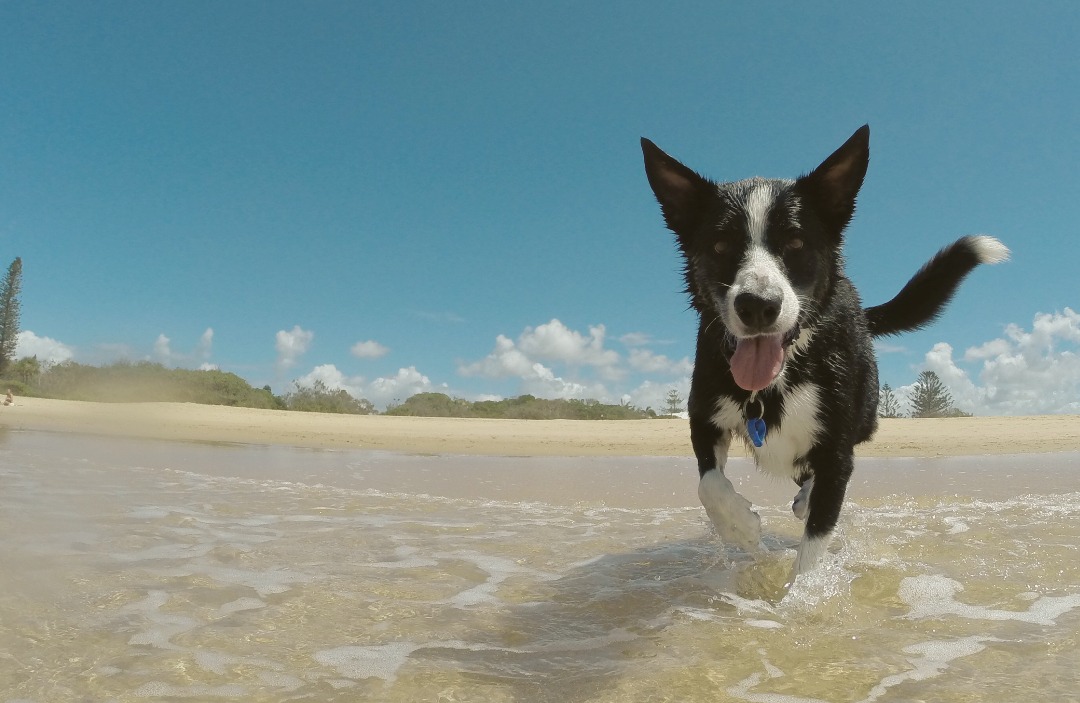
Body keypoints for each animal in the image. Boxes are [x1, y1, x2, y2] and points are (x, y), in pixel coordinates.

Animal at [639, 125, 1002, 578]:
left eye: (795, 241)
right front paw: (740, 527)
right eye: (720, 246)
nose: (757, 305)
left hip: (865, 412)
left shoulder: (836, 449)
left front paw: (803, 592)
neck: (776, 381)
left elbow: (814, 545)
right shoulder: (703, 417)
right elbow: (708, 483)